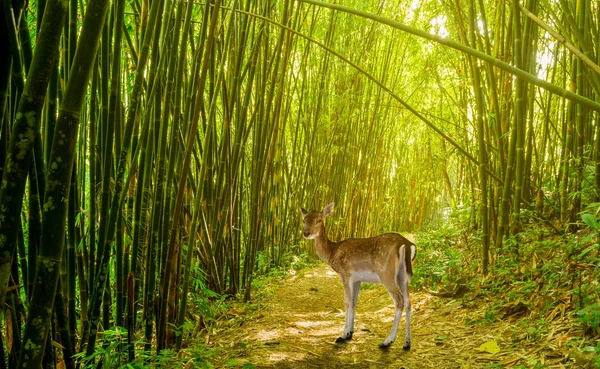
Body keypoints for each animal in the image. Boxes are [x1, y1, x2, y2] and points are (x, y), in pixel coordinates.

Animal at [300, 201, 418, 348]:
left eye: (319, 220)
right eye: (304, 220)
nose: (306, 233)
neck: (333, 253)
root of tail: (406, 244)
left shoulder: (346, 274)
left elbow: (347, 302)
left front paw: (343, 335)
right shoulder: (358, 279)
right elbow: (354, 301)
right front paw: (350, 332)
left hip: (386, 274)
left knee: (399, 300)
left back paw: (387, 341)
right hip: (403, 275)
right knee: (408, 301)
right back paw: (407, 343)